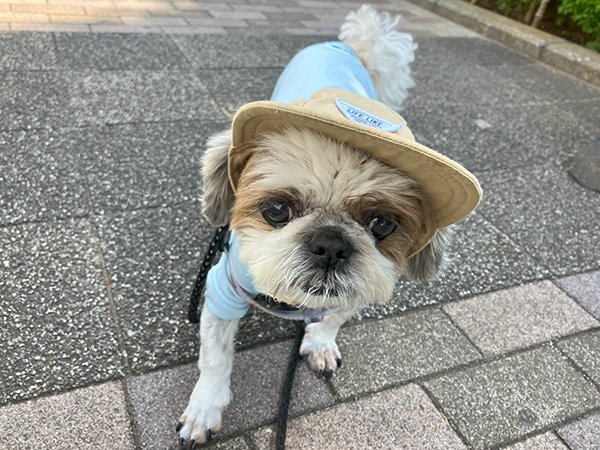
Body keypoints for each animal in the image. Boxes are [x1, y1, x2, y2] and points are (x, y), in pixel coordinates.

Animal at [176, 3, 480, 446]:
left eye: (382, 223)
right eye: (277, 210)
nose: (331, 244)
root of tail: (346, 45)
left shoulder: (361, 284)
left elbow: (334, 316)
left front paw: (319, 342)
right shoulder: (222, 289)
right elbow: (215, 358)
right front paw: (204, 408)